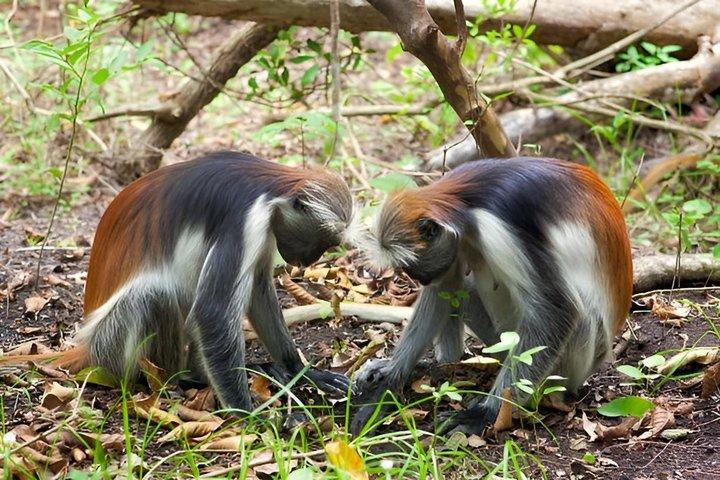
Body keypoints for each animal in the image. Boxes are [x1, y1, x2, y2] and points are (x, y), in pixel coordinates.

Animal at [2, 151, 356, 412]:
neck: (269, 186)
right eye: (321, 244)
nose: (308, 261)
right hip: (110, 345)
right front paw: (249, 416)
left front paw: (300, 372)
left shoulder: (268, 225)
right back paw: (186, 379)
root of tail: (88, 348)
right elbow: (213, 313)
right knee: (155, 295)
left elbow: (257, 288)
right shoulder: (245, 218)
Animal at [351, 157, 633, 436]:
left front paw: (487, 412)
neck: (466, 199)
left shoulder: (497, 228)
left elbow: (558, 309)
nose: (420, 279)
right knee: (461, 289)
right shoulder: (455, 240)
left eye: (410, 266)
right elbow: (446, 284)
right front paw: (391, 377)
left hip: (567, 364)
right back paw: (442, 364)